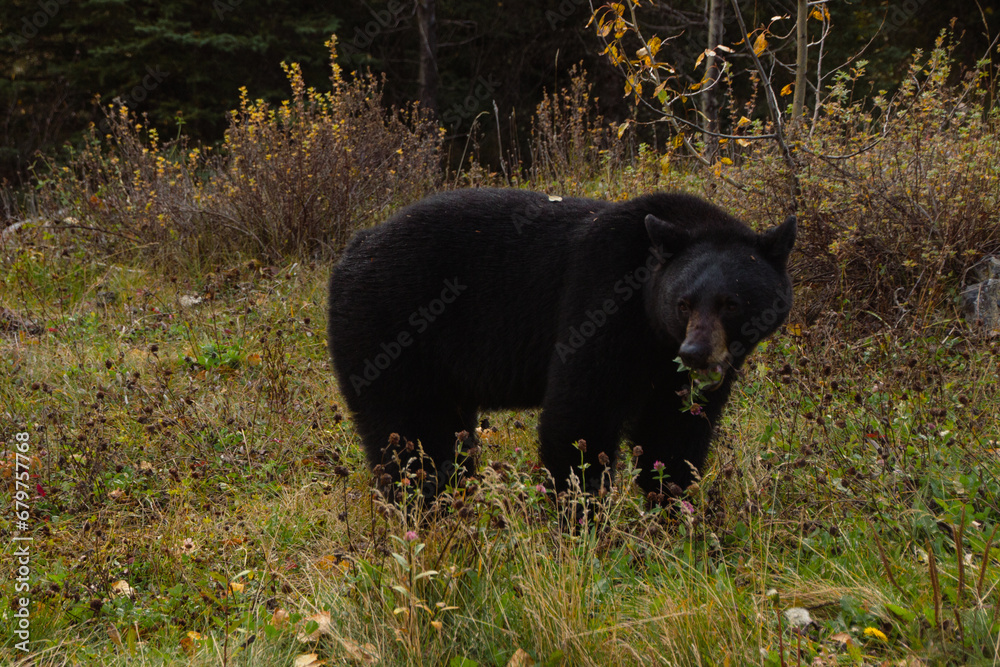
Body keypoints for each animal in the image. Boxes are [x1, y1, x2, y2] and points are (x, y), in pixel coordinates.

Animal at [327, 188, 795, 501]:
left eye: (731, 303)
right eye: (683, 303)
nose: (694, 354)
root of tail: (353, 249)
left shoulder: (673, 368)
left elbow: (675, 431)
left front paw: (669, 507)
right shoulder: (600, 303)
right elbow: (580, 414)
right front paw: (581, 515)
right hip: (387, 328)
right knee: (409, 430)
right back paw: (422, 504)